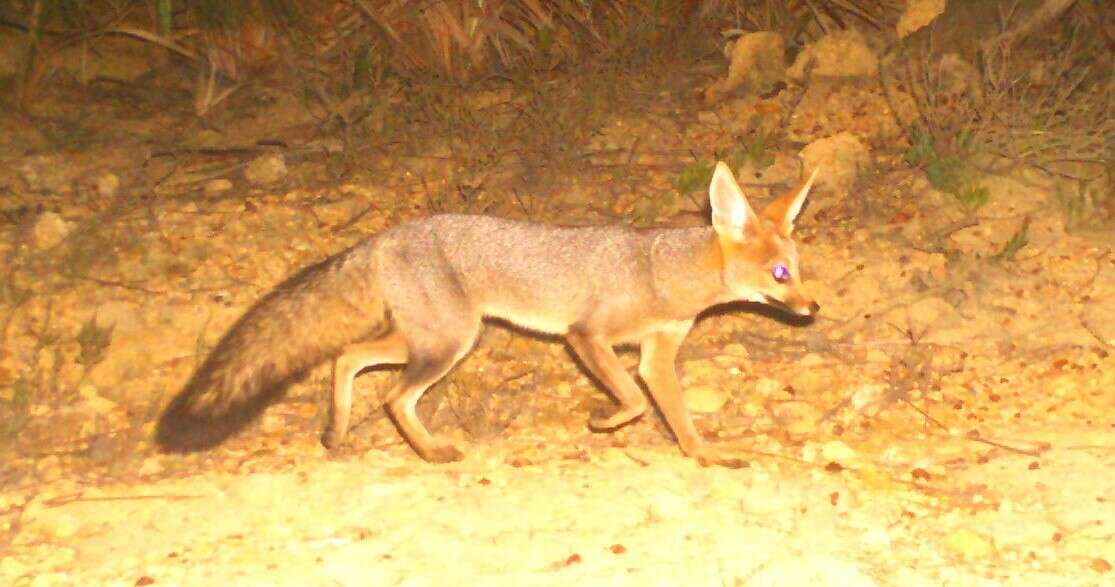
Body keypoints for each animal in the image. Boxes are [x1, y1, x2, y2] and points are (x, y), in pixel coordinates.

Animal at [154, 161, 820, 468]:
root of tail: (386, 235)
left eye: (799, 268)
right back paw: (429, 452)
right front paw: (603, 422)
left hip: (426, 340)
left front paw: (704, 456)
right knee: (392, 395)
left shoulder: (657, 356)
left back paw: (338, 431)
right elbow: (631, 401)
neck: (665, 274)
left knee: (347, 357)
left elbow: (676, 418)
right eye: (780, 276)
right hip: (449, 343)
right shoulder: (586, 336)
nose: (813, 307)